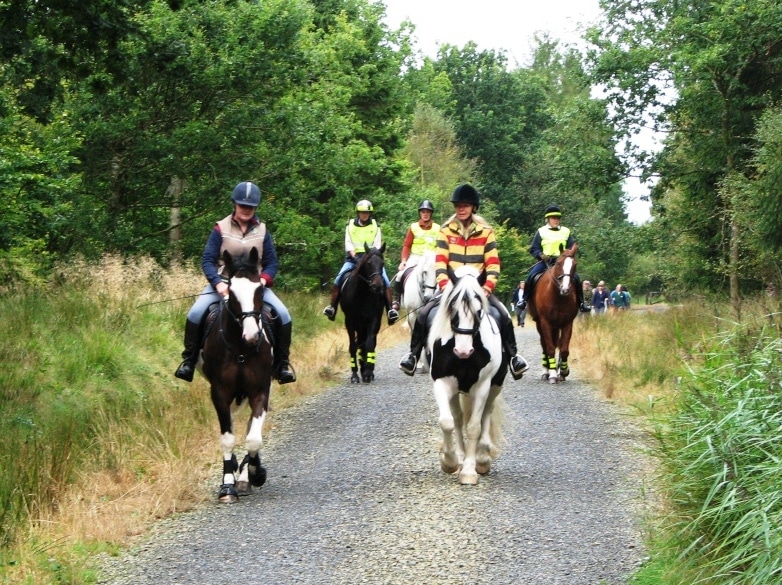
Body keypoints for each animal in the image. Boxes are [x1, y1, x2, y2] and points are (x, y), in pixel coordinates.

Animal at [201, 246, 274, 502]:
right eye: (231, 292)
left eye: (259, 288)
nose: (252, 336)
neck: (241, 349)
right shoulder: (219, 393)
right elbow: (227, 438)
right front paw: (227, 485)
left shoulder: (260, 391)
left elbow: (253, 438)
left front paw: (254, 474)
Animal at [428, 266, 508, 484]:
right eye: (452, 307)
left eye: (478, 310)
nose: (463, 351)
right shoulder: (442, 383)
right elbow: (447, 421)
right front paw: (450, 462)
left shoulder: (482, 387)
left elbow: (474, 427)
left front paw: (469, 471)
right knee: (457, 418)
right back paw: (462, 458)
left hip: (495, 386)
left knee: (486, 414)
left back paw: (481, 458)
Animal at [528, 243, 580, 384]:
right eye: (558, 263)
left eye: (574, 265)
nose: (565, 289)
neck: (558, 297)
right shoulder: (545, 322)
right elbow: (550, 348)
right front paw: (552, 374)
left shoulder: (567, 323)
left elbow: (564, 349)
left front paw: (563, 371)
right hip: (540, 324)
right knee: (544, 346)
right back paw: (546, 372)